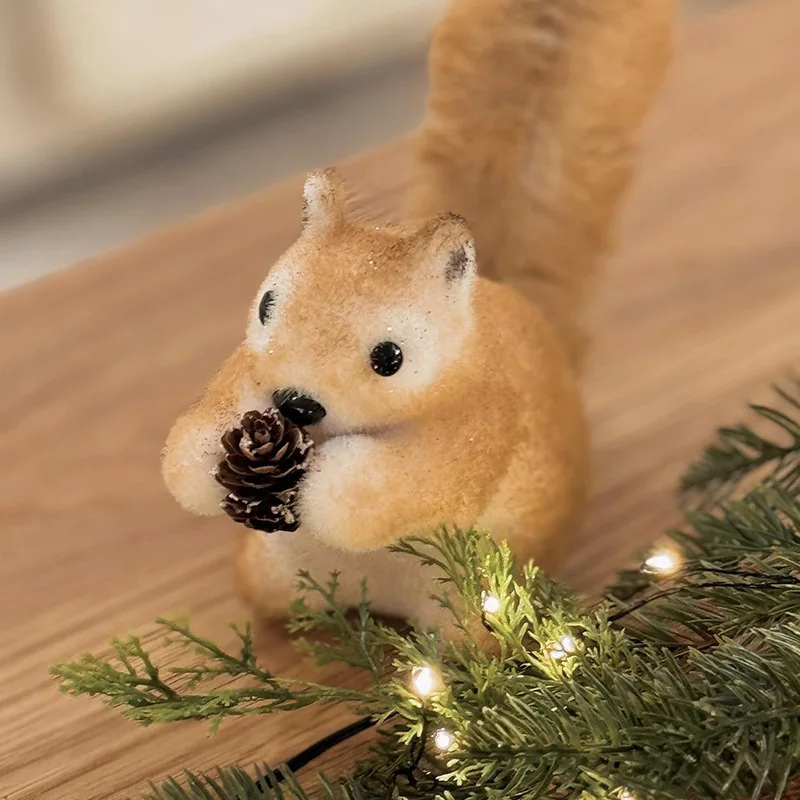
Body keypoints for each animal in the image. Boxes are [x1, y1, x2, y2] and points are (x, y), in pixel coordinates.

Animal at [161, 0, 676, 628]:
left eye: (391, 358)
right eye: (265, 305)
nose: (295, 404)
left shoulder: (482, 423)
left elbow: (400, 486)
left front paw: (319, 488)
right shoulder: (243, 368)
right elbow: (187, 445)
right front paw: (214, 451)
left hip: (472, 601)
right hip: (267, 571)